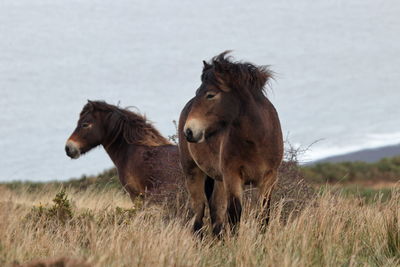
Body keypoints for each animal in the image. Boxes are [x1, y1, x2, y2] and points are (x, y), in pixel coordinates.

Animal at [178, 52, 284, 237]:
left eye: (210, 95)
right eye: (198, 92)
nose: (189, 131)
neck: (256, 140)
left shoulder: (269, 178)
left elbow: (263, 215)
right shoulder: (233, 177)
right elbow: (235, 215)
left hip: (218, 180)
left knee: (215, 212)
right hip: (193, 172)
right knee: (199, 213)